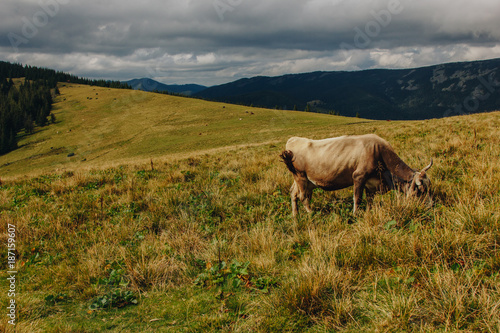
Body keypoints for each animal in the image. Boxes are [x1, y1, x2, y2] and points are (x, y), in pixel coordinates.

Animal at [280, 134, 432, 215]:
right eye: (421, 190)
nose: (430, 206)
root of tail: (294, 139)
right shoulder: (359, 176)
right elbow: (357, 198)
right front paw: (355, 215)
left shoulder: (371, 184)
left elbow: (370, 200)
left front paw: (368, 213)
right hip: (301, 176)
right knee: (303, 196)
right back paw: (311, 214)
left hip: (304, 181)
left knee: (293, 193)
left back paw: (295, 216)